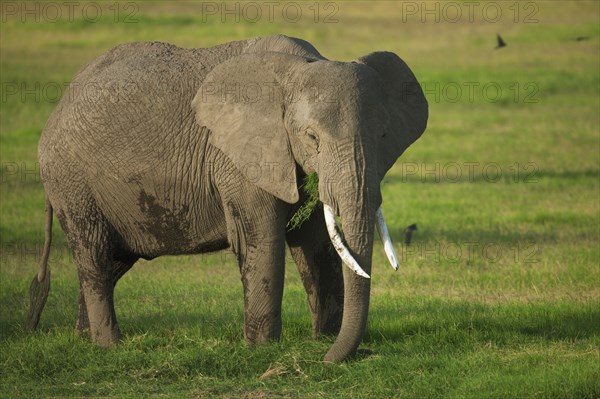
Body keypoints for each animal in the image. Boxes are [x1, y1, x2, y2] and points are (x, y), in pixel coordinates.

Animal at [28, 35, 426, 362]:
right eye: (311, 137)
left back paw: (83, 340)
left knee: (111, 262)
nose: (328, 359)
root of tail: (59, 105)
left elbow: (316, 243)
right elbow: (261, 240)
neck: (297, 68)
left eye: (384, 135)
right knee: (94, 255)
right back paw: (109, 346)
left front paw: (324, 340)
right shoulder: (237, 160)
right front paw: (263, 350)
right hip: (71, 182)